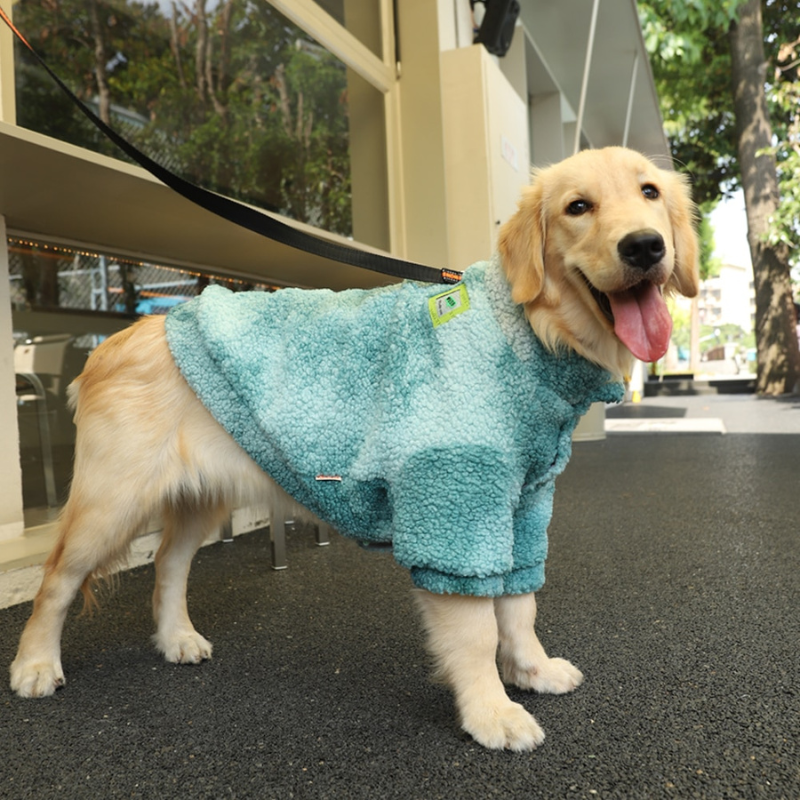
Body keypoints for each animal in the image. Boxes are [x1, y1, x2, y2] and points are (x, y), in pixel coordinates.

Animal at [14, 148, 700, 752]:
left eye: (650, 193)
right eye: (577, 207)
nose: (645, 246)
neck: (532, 333)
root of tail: (108, 343)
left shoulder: (522, 506)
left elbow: (519, 605)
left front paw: (532, 671)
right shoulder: (453, 503)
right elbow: (477, 629)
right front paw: (492, 713)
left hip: (201, 494)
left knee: (167, 565)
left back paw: (176, 637)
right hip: (112, 500)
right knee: (56, 580)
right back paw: (34, 665)